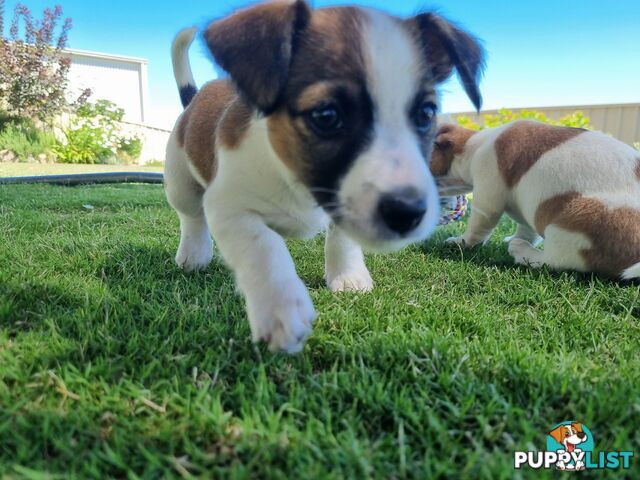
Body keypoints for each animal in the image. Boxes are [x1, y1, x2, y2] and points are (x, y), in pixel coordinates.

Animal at [165, 0, 484, 352]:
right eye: (326, 115)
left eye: (426, 113)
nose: (408, 213)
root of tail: (194, 100)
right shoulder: (229, 206)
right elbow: (264, 247)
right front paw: (281, 306)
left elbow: (341, 239)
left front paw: (348, 276)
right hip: (181, 184)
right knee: (192, 218)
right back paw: (194, 253)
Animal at [428, 121, 640, 282]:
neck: (473, 148)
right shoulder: (527, 212)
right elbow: (526, 230)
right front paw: (517, 237)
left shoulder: (486, 203)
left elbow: (477, 229)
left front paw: (461, 242)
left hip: (572, 223)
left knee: (554, 262)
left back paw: (522, 251)